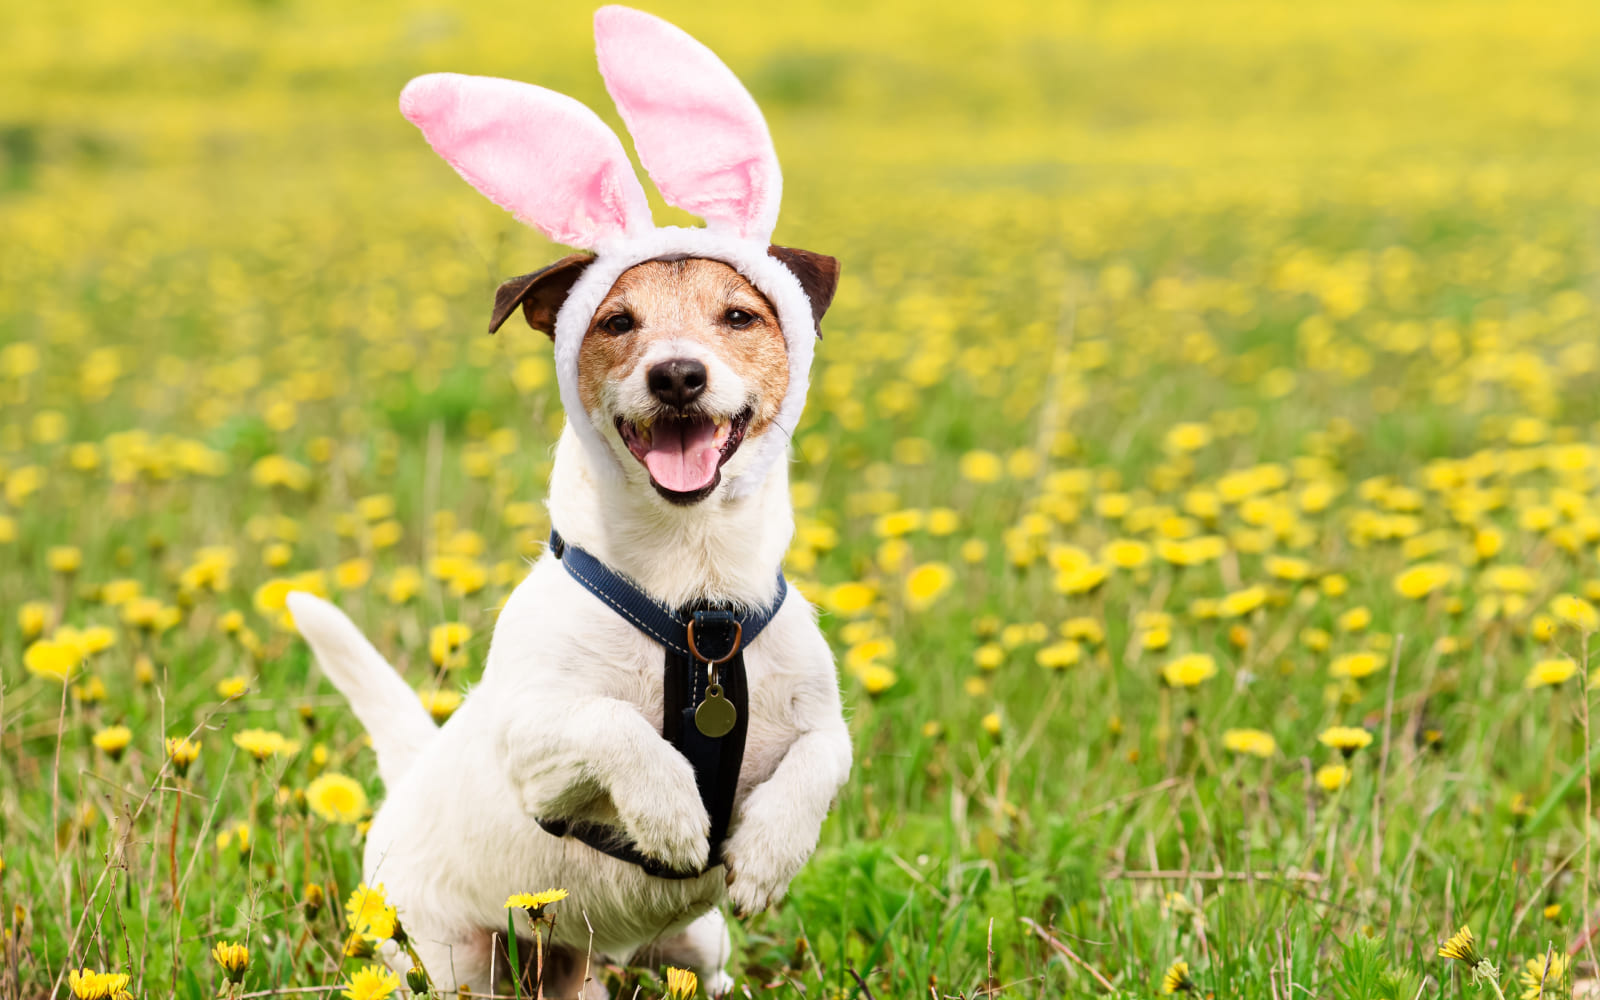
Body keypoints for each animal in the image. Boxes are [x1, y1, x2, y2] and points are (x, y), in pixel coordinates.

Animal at [286, 5, 851, 992]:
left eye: (739, 316)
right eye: (616, 321)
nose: (677, 374)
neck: (696, 601)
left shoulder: (822, 721)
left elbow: (823, 758)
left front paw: (767, 855)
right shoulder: (538, 748)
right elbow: (614, 726)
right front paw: (673, 817)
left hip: (695, 943)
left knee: (701, 968)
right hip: (446, 953)